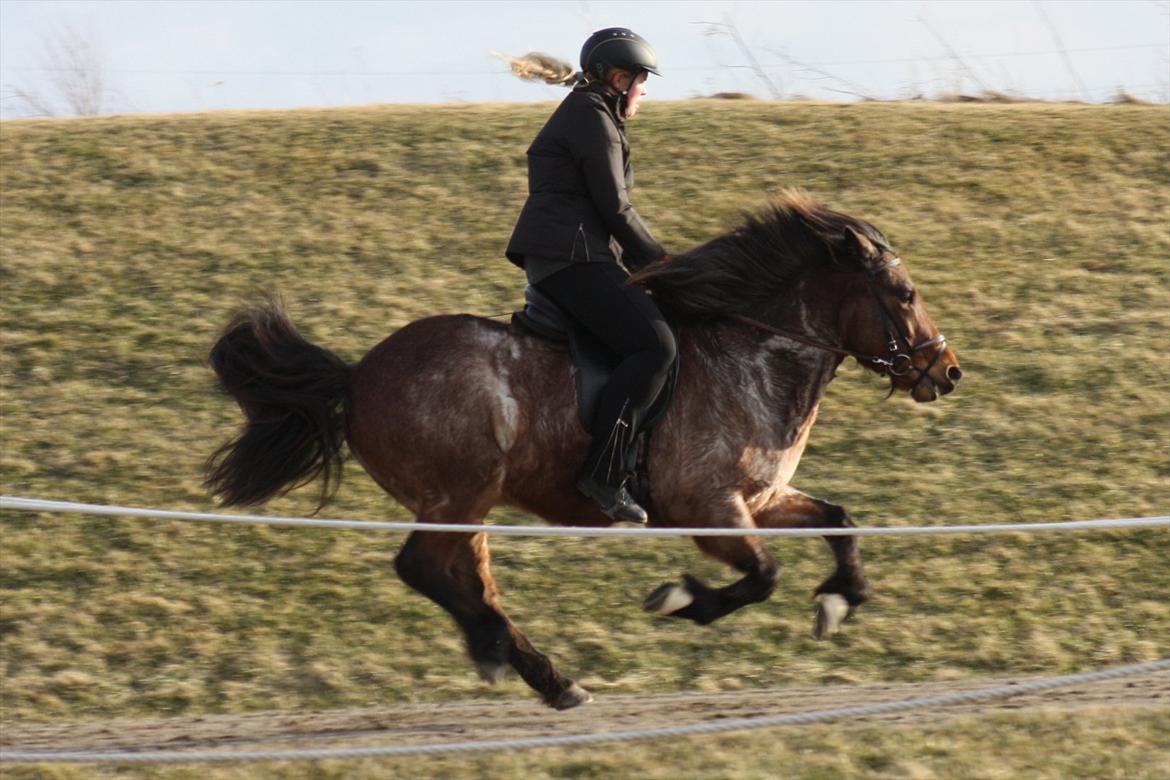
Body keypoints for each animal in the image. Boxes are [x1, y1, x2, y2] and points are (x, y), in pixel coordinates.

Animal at [205, 191, 964, 711]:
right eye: (904, 293)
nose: (948, 371)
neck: (755, 355)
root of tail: (357, 374)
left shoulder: (763, 499)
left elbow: (840, 520)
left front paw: (839, 600)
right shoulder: (708, 508)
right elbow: (763, 577)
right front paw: (681, 599)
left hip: (469, 503)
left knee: (465, 577)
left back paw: (531, 668)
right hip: (458, 491)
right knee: (422, 568)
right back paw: (517, 659)